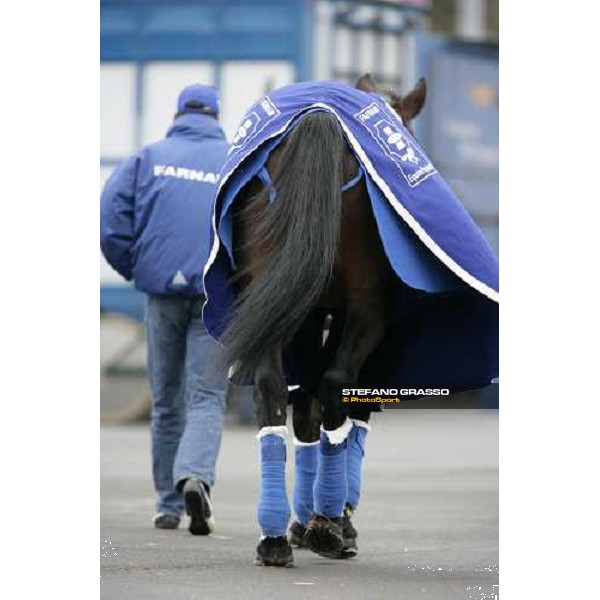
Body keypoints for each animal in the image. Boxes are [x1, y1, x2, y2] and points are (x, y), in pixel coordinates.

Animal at [218, 75, 428, 568]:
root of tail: (321, 119)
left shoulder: (309, 314)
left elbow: (305, 407)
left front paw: (301, 523)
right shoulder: (369, 321)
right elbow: (350, 405)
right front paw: (336, 519)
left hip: (273, 294)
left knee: (273, 389)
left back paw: (275, 536)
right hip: (365, 307)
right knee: (334, 387)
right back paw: (329, 525)